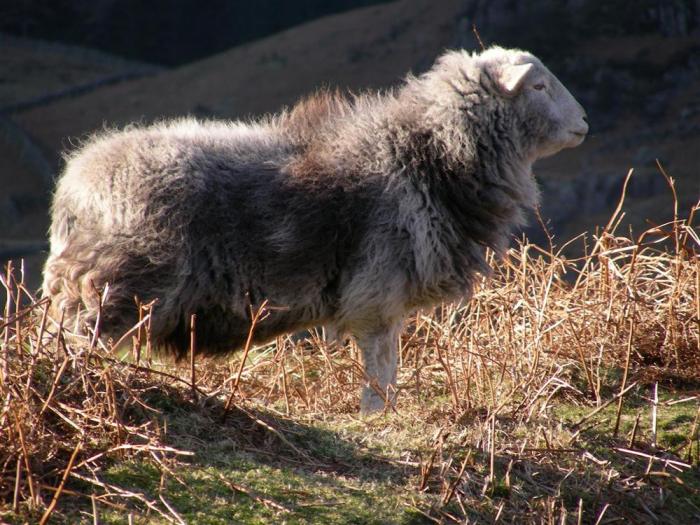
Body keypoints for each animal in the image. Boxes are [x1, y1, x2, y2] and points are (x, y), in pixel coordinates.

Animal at [43, 45, 588, 414]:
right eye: (538, 86)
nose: (584, 122)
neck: (428, 152)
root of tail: (75, 184)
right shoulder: (377, 290)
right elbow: (380, 364)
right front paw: (377, 415)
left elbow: (388, 364)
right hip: (118, 283)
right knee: (78, 336)